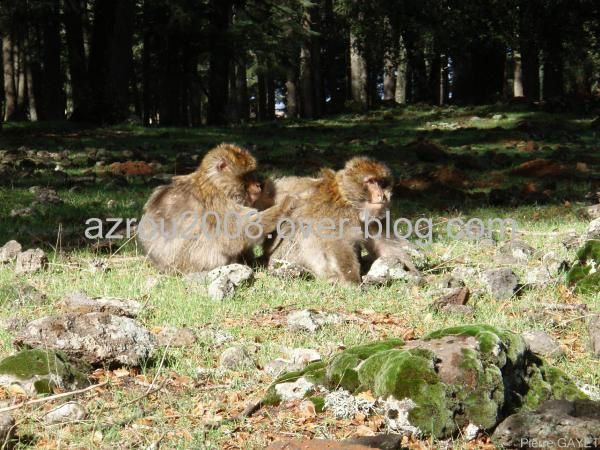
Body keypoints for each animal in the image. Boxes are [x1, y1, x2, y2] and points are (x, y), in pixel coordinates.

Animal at [137, 142, 296, 272]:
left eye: (253, 173)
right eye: (248, 175)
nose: (258, 185)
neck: (216, 183)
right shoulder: (218, 202)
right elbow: (238, 233)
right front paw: (284, 205)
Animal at [264, 158, 398, 284]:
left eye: (381, 183)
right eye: (370, 182)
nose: (381, 195)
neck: (349, 201)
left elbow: (384, 245)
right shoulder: (340, 213)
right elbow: (338, 242)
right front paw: (352, 281)